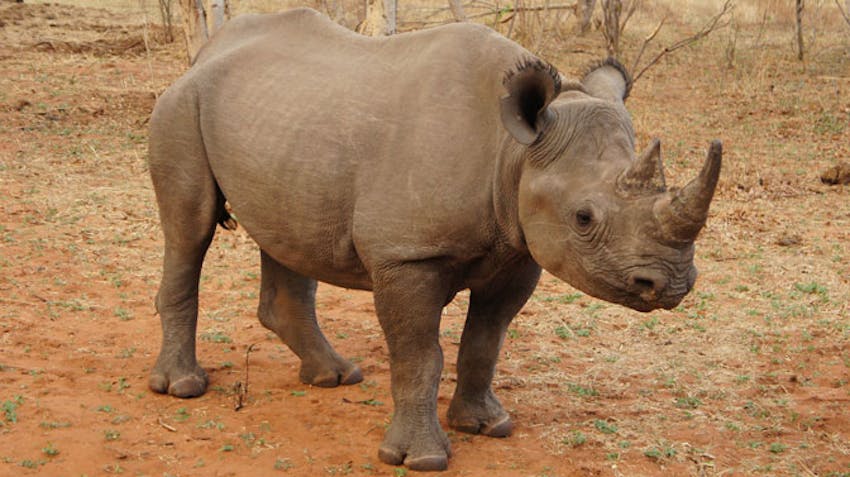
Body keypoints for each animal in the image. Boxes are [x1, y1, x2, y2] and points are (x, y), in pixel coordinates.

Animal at [147, 7, 721, 471]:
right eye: (583, 217)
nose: (670, 285)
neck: (514, 152)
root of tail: (203, 55)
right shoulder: (407, 255)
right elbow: (420, 355)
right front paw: (420, 458)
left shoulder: (518, 252)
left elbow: (485, 342)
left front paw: (487, 425)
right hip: (180, 106)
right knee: (189, 230)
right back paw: (183, 388)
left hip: (282, 123)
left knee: (286, 232)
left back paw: (336, 376)